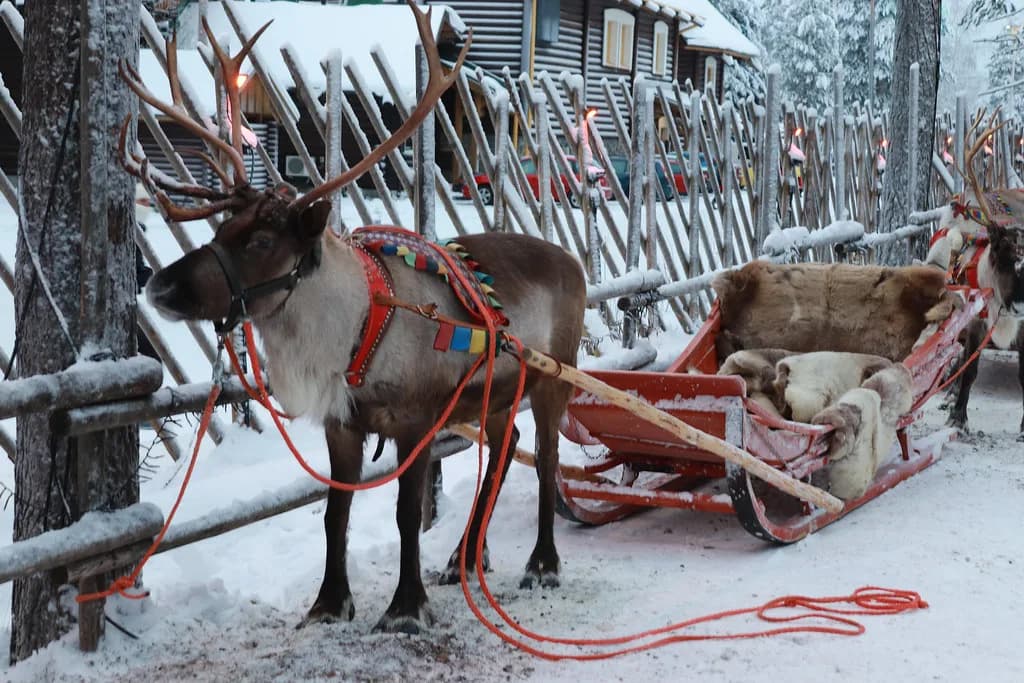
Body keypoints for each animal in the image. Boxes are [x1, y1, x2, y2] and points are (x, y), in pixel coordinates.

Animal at [126, 1, 586, 634]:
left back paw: (542, 563)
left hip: (552, 378)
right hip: (497, 392)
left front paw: (406, 607)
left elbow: (404, 513)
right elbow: (334, 514)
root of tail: (573, 260)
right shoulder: (341, 426)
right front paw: (328, 602)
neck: (354, 334)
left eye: (263, 240)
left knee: (544, 458)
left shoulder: (416, 421)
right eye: (221, 229)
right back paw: (464, 558)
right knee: (502, 449)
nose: (160, 285)